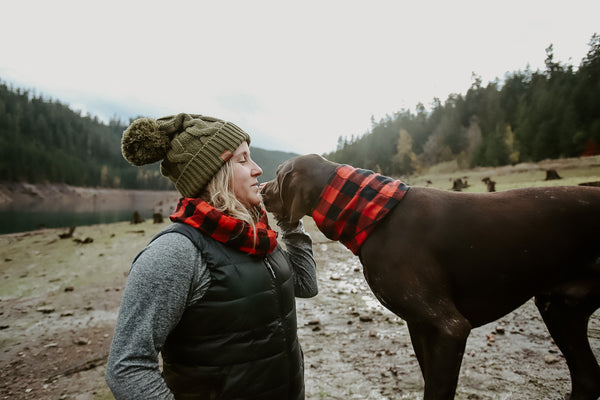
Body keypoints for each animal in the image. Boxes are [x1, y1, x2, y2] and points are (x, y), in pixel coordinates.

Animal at [262, 155, 600, 400]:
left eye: (278, 174)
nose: (261, 188)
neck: (372, 214)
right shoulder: (421, 327)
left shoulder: (450, 327)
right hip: (559, 309)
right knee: (587, 378)